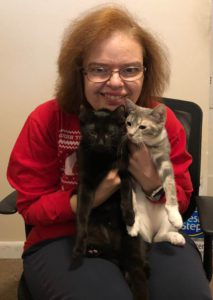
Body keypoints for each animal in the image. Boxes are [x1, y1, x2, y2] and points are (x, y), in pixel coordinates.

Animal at [72, 103, 149, 300]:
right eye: (92, 132)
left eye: (109, 133)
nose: (100, 142)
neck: (102, 160)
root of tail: (116, 249)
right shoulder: (85, 184)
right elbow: (82, 213)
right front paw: (78, 247)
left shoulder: (124, 172)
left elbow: (126, 192)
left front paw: (129, 215)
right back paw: (92, 250)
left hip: (133, 251)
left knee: (139, 280)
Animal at [125, 99, 184, 245]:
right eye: (129, 123)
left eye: (142, 127)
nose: (130, 134)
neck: (147, 145)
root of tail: (150, 234)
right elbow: (131, 198)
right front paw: (132, 224)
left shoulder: (164, 158)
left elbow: (170, 184)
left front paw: (175, 214)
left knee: (159, 237)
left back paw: (174, 236)